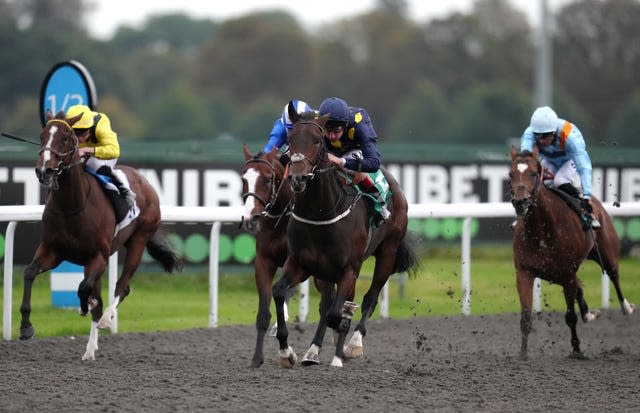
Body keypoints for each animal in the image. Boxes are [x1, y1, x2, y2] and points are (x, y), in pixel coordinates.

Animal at [21, 111, 182, 358]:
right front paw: (26, 327)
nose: (44, 171)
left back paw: (106, 318)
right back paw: (90, 350)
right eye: (42, 136)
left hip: (139, 240)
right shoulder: (52, 251)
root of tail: (144, 180)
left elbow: (84, 288)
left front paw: (85, 307)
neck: (72, 206)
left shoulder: (98, 256)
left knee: (122, 286)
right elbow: (29, 273)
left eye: (66, 138)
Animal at [272, 104, 418, 366]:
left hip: (387, 252)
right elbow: (280, 292)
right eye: (291, 138)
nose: (298, 178)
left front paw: (342, 338)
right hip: (325, 271)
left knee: (370, 297)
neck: (321, 213)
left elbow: (335, 313)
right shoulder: (301, 264)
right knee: (326, 303)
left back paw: (352, 345)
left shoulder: (350, 268)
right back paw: (313, 351)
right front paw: (287, 352)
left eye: (317, 140)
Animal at [508, 146, 632, 358]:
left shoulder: (567, 274)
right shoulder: (524, 273)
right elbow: (525, 317)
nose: (520, 202)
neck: (542, 231)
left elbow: (570, 316)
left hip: (606, 254)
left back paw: (626, 308)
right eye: (511, 174)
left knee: (614, 276)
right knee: (580, 286)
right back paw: (589, 314)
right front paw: (523, 354)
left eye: (534, 173)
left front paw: (577, 350)